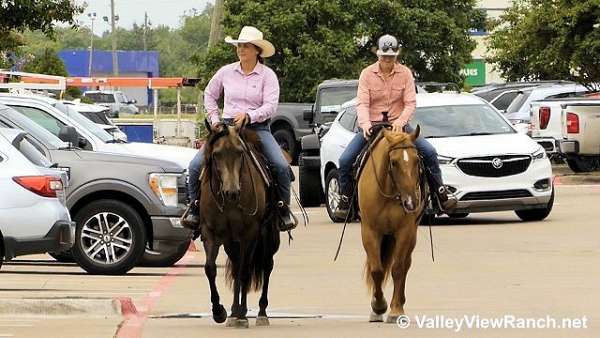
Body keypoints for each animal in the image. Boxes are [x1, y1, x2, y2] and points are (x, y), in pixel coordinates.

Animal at [198, 121, 280, 328]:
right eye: (216, 154)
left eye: (240, 152)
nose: (232, 192)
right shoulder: (210, 232)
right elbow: (210, 268)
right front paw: (219, 311)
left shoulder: (249, 233)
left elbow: (244, 271)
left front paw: (242, 314)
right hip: (231, 242)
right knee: (236, 266)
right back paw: (234, 311)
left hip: (268, 236)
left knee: (266, 266)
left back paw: (260, 312)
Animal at [356, 125, 426, 324]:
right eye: (393, 162)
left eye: (417, 160)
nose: (411, 202)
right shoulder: (369, 231)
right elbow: (377, 270)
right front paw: (378, 306)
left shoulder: (405, 231)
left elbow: (398, 269)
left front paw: (395, 310)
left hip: (410, 235)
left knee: (406, 264)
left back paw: (400, 302)